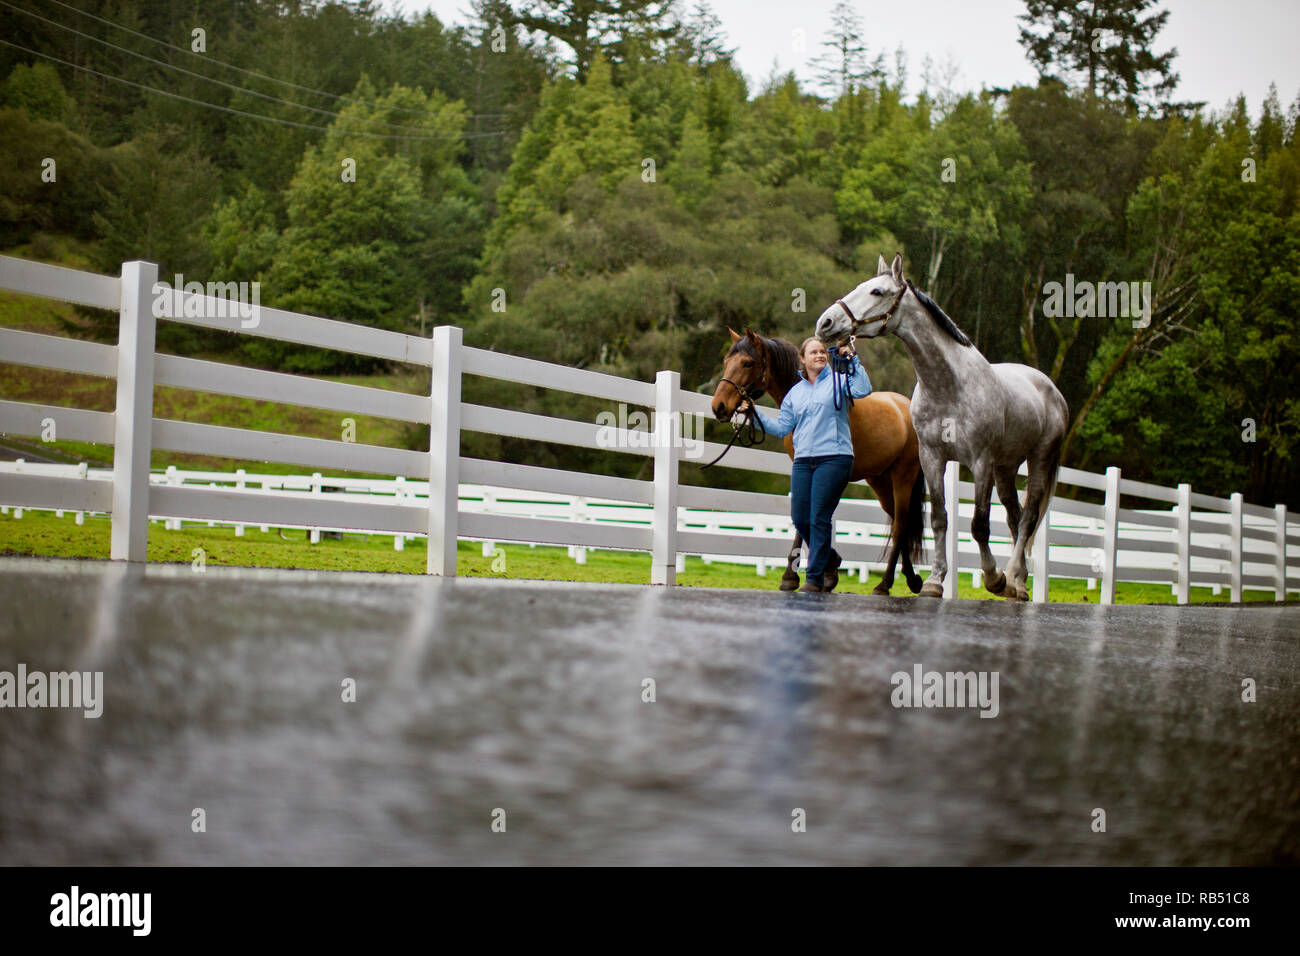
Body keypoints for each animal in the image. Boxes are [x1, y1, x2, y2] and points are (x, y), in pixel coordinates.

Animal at [709, 328, 926, 595]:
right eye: (726, 362)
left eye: (747, 363)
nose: (719, 407)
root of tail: (906, 406)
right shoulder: (801, 468)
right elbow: (805, 516)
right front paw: (823, 573)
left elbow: (816, 517)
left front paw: (802, 576)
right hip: (880, 480)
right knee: (899, 521)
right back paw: (911, 578)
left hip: (903, 476)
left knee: (900, 526)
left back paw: (884, 585)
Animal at [816, 254, 1069, 601]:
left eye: (877, 291)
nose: (826, 323)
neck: (949, 385)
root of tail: (1051, 389)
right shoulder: (932, 458)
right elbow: (939, 519)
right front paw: (935, 581)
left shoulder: (980, 462)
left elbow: (978, 525)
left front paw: (993, 578)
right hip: (1006, 468)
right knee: (1015, 518)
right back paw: (1018, 583)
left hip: (1039, 459)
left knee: (1029, 518)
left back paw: (1011, 578)